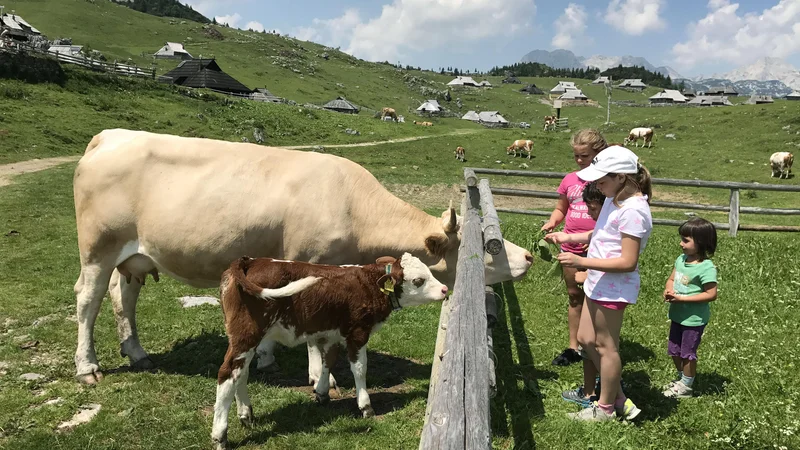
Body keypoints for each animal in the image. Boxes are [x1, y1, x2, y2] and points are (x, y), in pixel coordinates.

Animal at [69, 128, 532, 384]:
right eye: (484, 245)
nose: (528, 255)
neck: (353, 206)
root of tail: (110, 135)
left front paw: (266, 359)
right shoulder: (309, 258)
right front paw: (316, 375)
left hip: (133, 256)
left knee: (123, 296)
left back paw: (136, 351)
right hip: (98, 249)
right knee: (88, 300)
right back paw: (87, 367)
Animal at [211, 253, 450, 450]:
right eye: (418, 280)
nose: (445, 289)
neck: (368, 284)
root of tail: (248, 261)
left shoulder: (332, 333)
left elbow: (328, 361)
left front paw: (322, 392)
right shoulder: (358, 333)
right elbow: (359, 368)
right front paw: (365, 406)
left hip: (244, 339)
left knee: (240, 373)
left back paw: (246, 415)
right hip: (246, 335)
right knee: (227, 374)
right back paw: (220, 435)